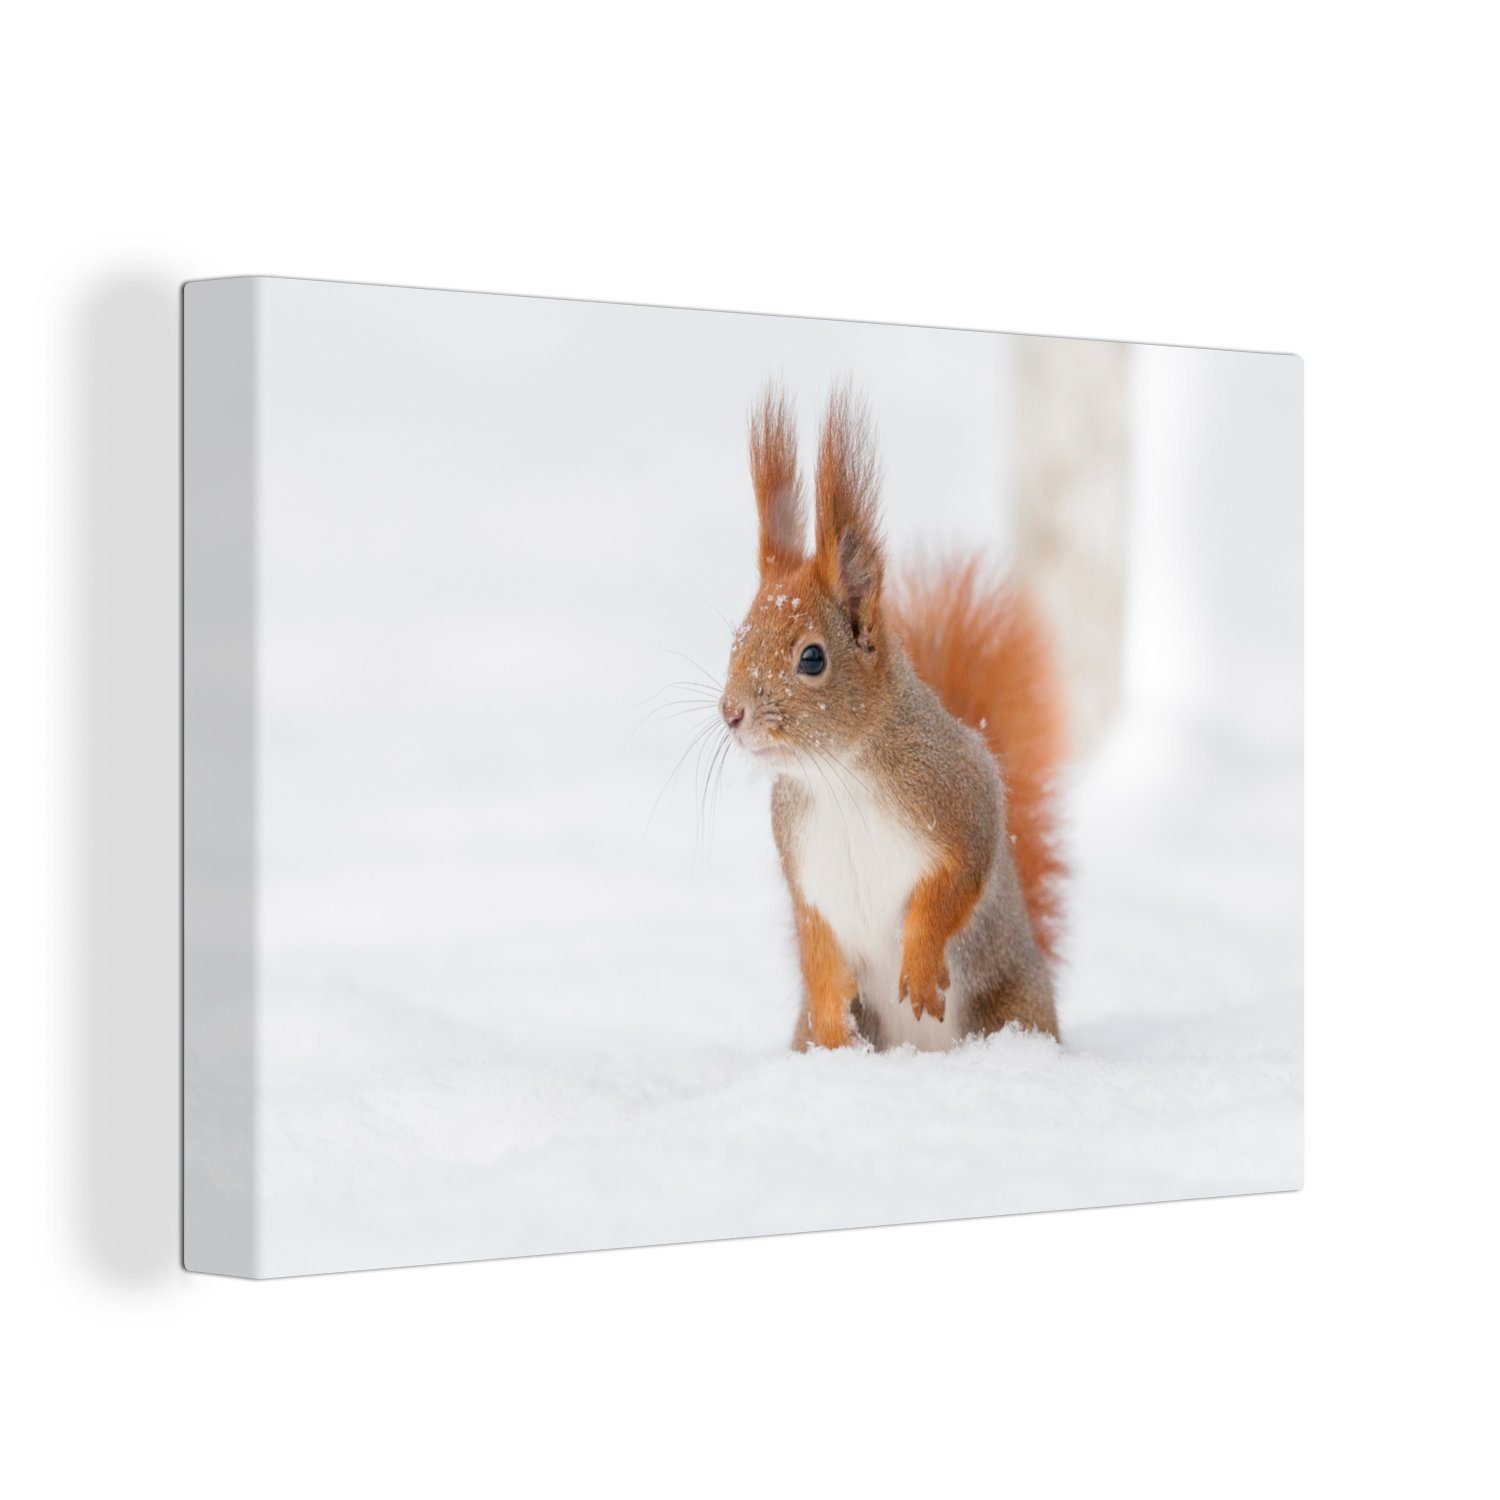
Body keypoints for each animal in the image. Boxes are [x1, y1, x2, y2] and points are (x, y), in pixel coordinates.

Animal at [720, 387, 1067, 1051]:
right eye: (737, 637)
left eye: (812, 658)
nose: (731, 713)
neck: (838, 775)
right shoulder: (802, 872)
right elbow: (814, 944)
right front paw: (834, 1027)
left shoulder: (960, 797)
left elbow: (955, 884)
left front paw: (923, 966)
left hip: (1010, 1006)